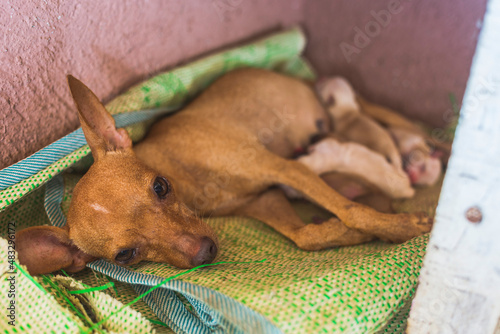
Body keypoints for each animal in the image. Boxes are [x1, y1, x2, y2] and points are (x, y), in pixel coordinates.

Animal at [14, 68, 430, 274]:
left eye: (160, 187)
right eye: (125, 256)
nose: (205, 253)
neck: (192, 183)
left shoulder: (282, 167)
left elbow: (351, 209)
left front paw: (401, 227)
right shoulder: (265, 198)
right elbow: (308, 236)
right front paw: (355, 233)